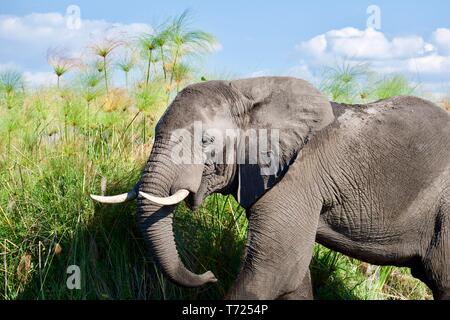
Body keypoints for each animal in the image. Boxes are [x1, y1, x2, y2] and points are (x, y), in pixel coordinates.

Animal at [90, 77, 450, 300]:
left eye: (206, 141)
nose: (208, 274)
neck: (245, 90)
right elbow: (293, 274)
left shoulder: (296, 177)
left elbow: (275, 267)